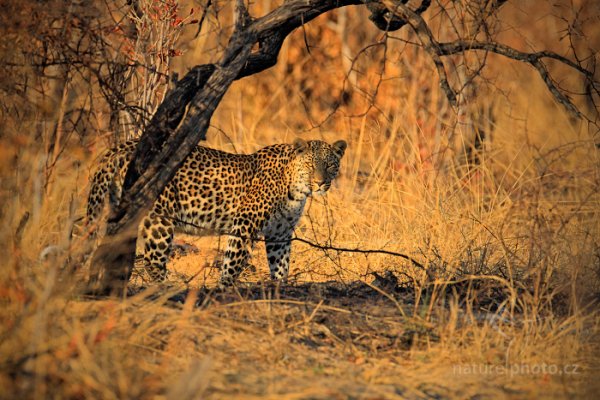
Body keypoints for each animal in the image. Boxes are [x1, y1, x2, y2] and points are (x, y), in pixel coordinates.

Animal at [85, 138, 346, 284]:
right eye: (311, 165)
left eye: (330, 165)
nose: (321, 183)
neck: (296, 188)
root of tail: (125, 146)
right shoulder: (245, 223)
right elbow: (233, 261)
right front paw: (224, 288)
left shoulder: (280, 233)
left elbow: (281, 264)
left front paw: (280, 289)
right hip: (159, 218)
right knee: (153, 260)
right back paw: (165, 288)